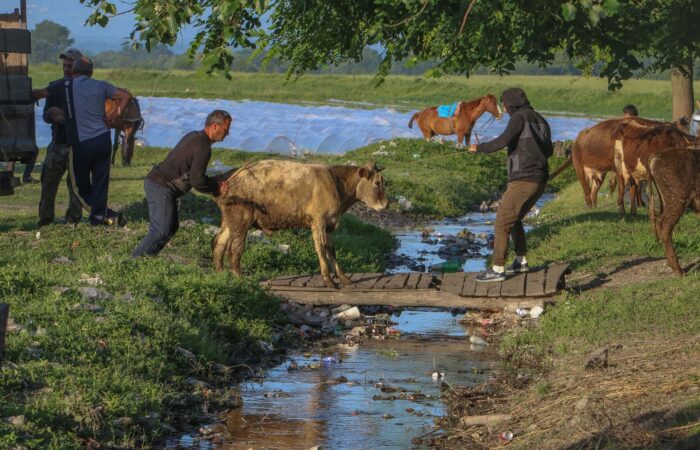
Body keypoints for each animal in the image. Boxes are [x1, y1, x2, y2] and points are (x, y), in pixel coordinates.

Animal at [212, 160, 388, 289]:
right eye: (377, 183)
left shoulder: (329, 224)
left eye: (383, 182)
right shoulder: (318, 221)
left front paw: (344, 279)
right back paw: (240, 278)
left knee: (219, 242)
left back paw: (220, 274)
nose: (386, 205)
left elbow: (331, 251)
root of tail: (228, 178)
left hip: (229, 219)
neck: (337, 185)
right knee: (234, 249)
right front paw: (329, 281)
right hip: (241, 218)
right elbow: (321, 249)